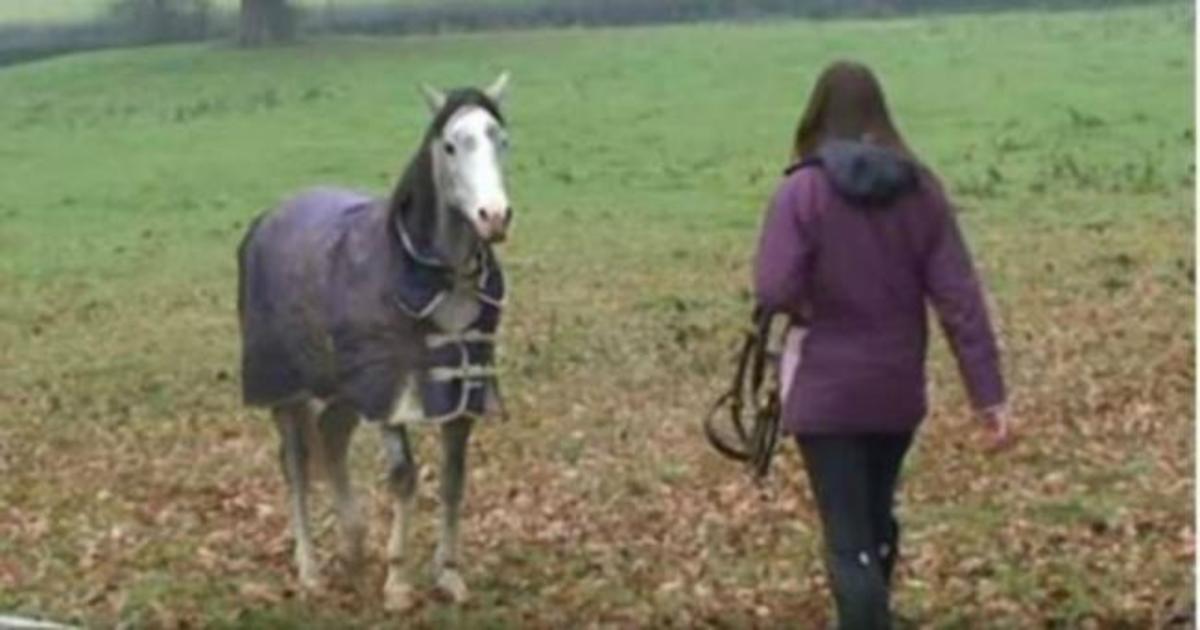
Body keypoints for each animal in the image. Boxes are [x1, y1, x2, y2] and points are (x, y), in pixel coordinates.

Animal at [236, 72, 513, 609]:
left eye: (501, 140)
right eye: (450, 145)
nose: (494, 216)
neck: (434, 279)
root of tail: (267, 218)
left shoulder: (460, 393)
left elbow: (454, 478)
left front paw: (449, 575)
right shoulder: (391, 394)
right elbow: (404, 479)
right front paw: (399, 583)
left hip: (345, 389)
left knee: (332, 436)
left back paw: (354, 544)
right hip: (286, 390)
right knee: (296, 466)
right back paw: (310, 570)